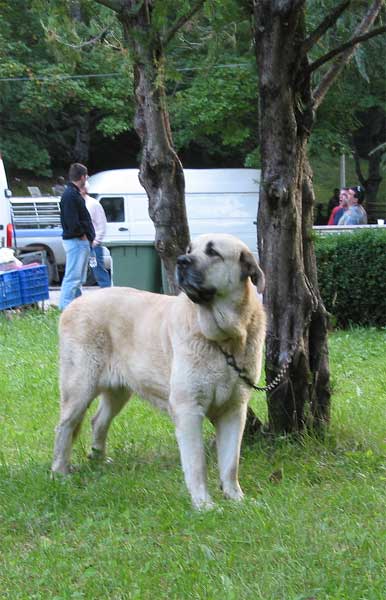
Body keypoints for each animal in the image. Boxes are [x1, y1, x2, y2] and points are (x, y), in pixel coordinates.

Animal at [52, 232, 266, 508]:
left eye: (212, 252)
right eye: (189, 249)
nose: (182, 261)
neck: (224, 339)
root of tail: (75, 302)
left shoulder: (234, 410)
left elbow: (230, 463)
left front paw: (236, 499)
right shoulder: (188, 410)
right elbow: (197, 463)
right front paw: (204, 505)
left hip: (118, 391)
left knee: (98, 420)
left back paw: (99, 460)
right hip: (79, 388)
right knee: (64, 427)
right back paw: (59, 472)